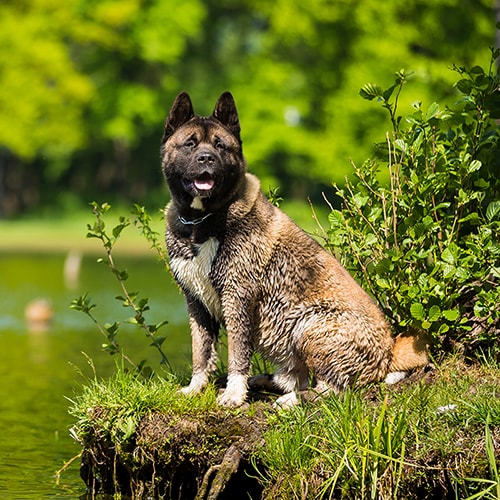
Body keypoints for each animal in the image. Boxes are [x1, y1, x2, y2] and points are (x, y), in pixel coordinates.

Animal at [161, 92, 430, 408]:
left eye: (220, 145)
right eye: (190, 144)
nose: (207, 158)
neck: (202, 220)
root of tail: (389, 353)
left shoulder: (238, 297)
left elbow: (238, 353)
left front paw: (234, 394)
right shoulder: (196, 302)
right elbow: (200, 352)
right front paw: (196, 388)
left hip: (309, 324)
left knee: (333, 390)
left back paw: (291, 400)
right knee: (300, 377)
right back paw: (269, 382)